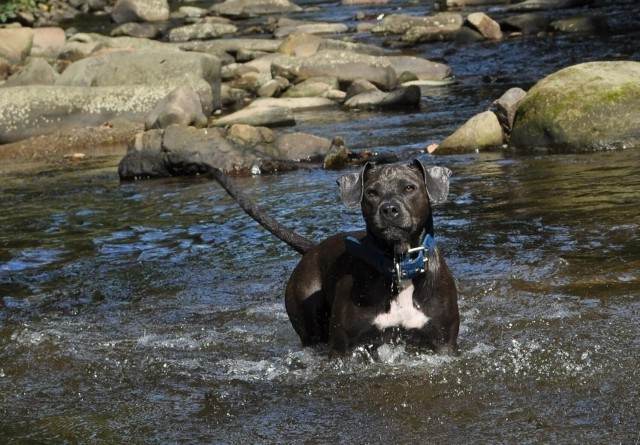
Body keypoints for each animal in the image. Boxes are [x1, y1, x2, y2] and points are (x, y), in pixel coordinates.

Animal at [210, 160, 460, 358]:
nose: (389, 209)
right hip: (309, 326)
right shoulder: (343, 349)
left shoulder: (444, 345)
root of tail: (312, 249)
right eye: (371, 192)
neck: (398, 266)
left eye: (409, 188)